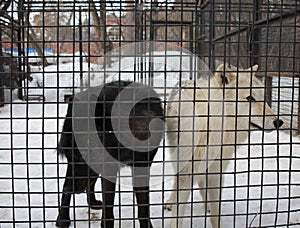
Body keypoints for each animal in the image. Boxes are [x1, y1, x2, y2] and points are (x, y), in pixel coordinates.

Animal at [164, 64, 284, 228]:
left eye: (262, 98)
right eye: (250, 98)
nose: (279, 122)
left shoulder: (216, 172)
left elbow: (216, 211)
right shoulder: (187, 172)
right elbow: (178, 213)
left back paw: (206, 204)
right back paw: (171, 201)